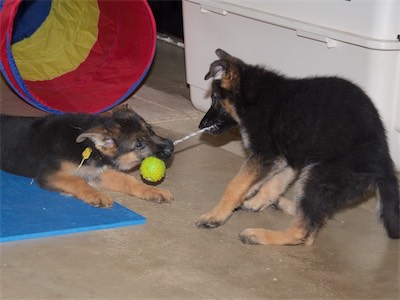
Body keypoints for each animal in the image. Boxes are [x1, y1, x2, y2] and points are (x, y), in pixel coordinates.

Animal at [0, 106, 174, 209]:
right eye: (139, 144)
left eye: (150, 130)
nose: (171, 147)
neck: (89, 146)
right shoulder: (49, 173)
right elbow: (76, 180)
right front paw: (97, 195)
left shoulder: (96, 172)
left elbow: (128, 180)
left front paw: (152, 191)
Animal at [197, 49, 400, 245]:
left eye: (214, 98)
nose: (201, 126)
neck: (253, 96)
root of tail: (384, 165)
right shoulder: (287, 158)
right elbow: (273, 184)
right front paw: (255, 202)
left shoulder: (265, 155)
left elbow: (236, 185)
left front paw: (216, 216)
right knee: (315, 218)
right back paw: (284, 205)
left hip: (318, 176)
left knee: (303, 233)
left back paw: (259, 235)